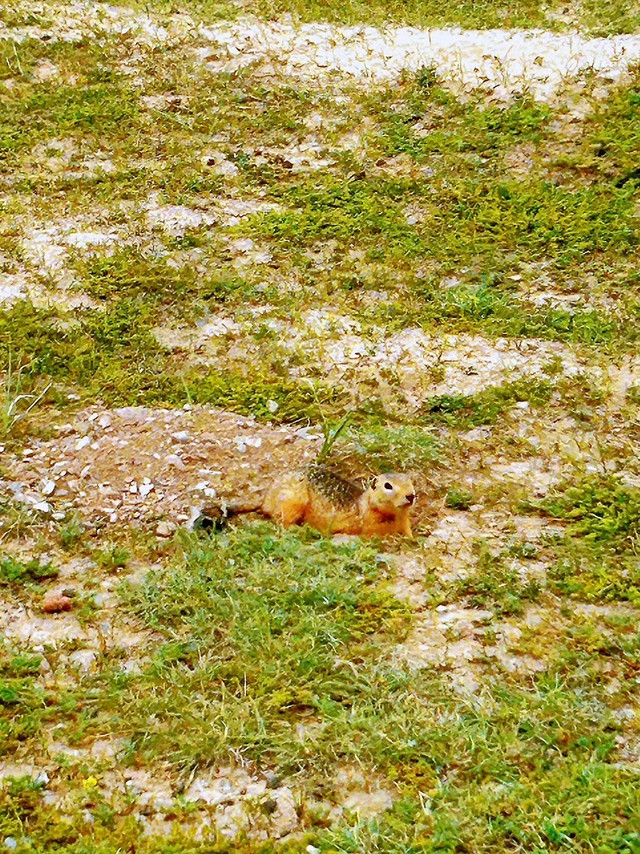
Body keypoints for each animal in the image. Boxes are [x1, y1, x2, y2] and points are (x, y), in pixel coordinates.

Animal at [201, 472, 420, 540]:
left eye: (411, 481)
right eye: (388, 486)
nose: (411, 496)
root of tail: (266, 499)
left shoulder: (405, 522)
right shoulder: (371, 524)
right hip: (293, 503)